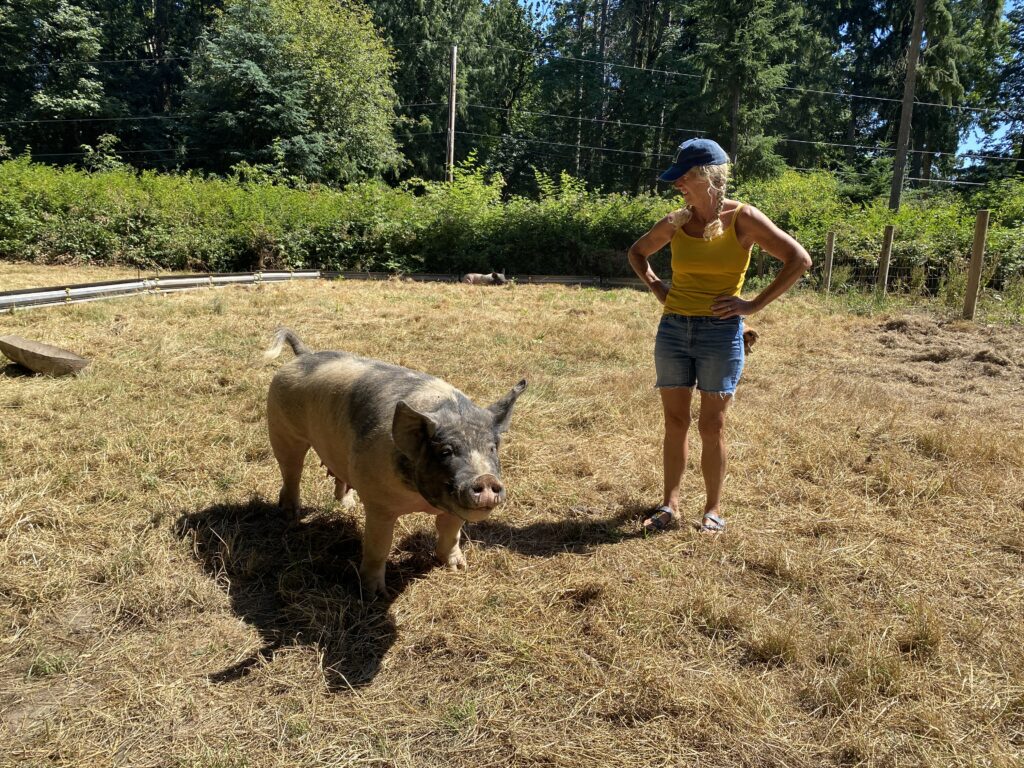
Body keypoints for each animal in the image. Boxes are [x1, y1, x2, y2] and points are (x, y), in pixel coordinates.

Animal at [264, 328, 526, 597]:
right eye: (446, 451)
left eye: (492, 448)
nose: (485, 478)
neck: (421, 500)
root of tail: (304, 354)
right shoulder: (379, 504)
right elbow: (378, 547)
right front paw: (376, 595)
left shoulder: (453, 509)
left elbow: (450, 533)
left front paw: (458, 568)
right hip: (280, 426)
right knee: (291, 470)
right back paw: (291, 514)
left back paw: (349, 505)